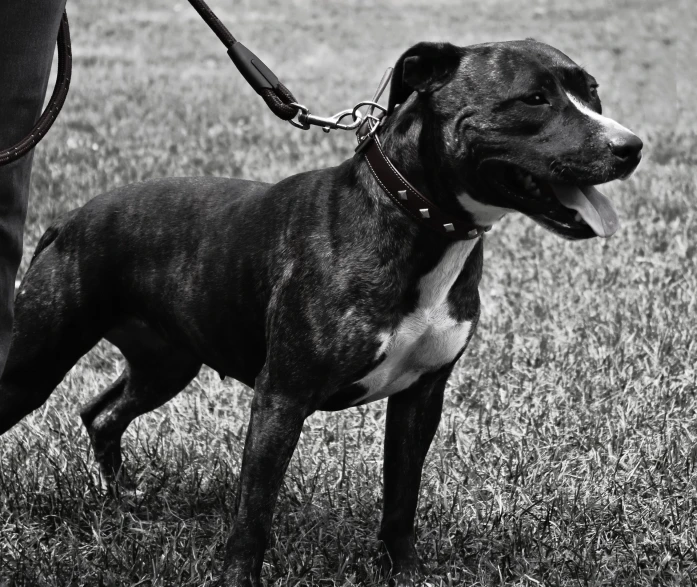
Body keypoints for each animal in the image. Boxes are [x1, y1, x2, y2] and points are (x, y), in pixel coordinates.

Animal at [0, 39, 640, 584]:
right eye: (534, 98)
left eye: (593, 93)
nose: (631, 146)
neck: (417, 217)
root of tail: (70, 220)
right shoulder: (282, 397)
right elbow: (253, 515)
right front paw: (239, 579)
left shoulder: (421, 397)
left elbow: (401, 501)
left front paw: (404, 572)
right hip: (34, 365)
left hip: (167, 363)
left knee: (102, 413)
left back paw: (117, 501)